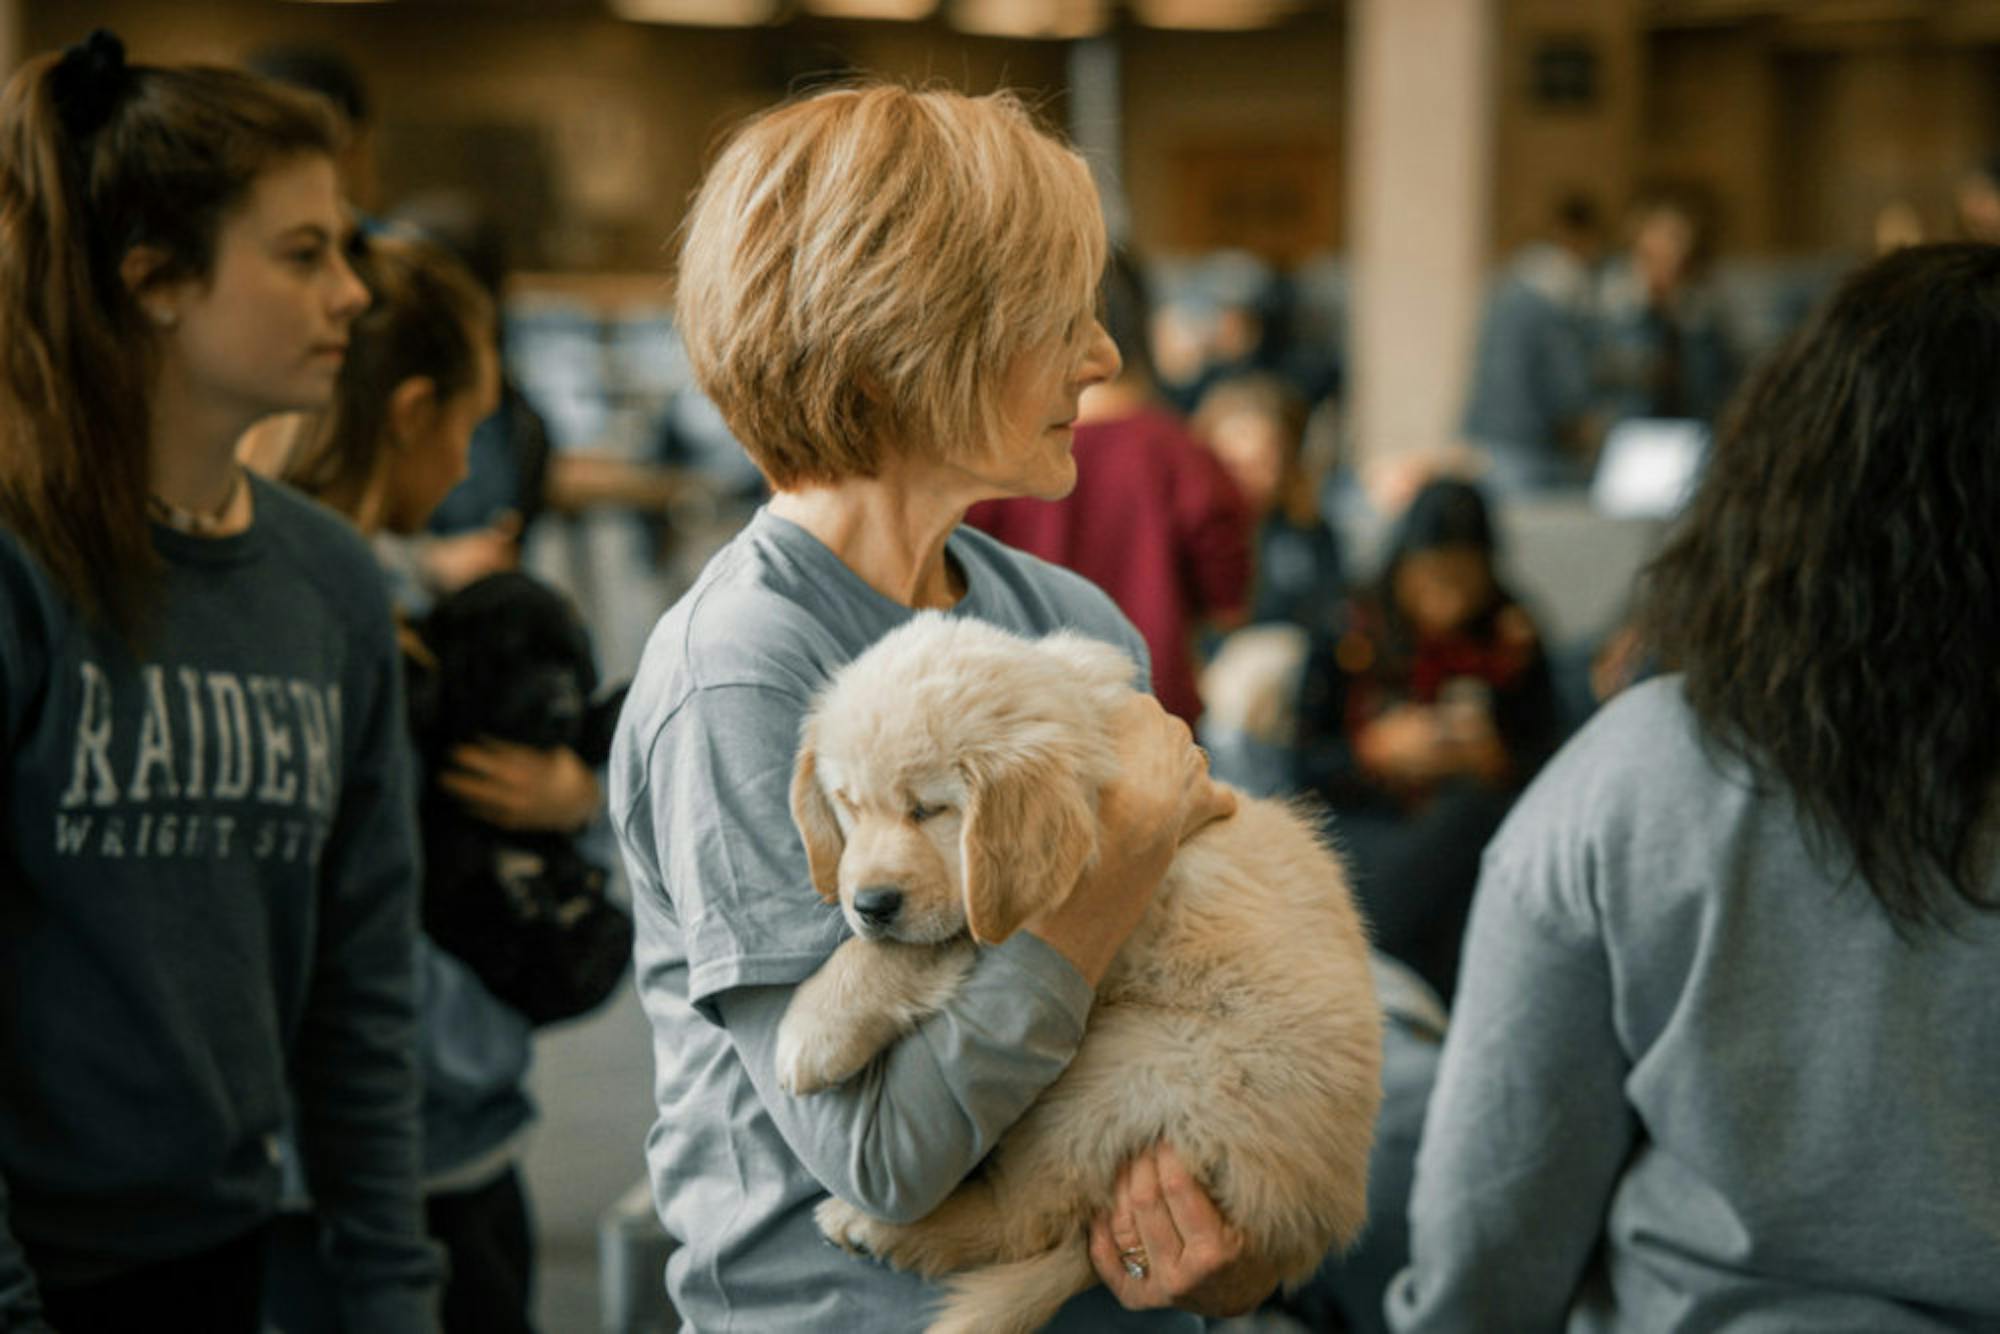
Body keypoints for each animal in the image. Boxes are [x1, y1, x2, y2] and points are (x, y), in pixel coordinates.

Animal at [418, 568, 636, 1032]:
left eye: (569, 662)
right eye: (516, 659)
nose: (561, 711)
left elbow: (580, 740)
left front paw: (614, 706)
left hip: (596, 914)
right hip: (464, 905)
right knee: (515, 968)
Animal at [772, 616, 1384, 1334]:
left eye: (928, 810)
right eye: (847, 803)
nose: (870, 904)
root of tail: (1298, 1224)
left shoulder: (1026, 907)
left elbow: (906, 949)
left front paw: (813, 1032)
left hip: (1126, 1065)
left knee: (1028, 1220)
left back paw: (880, 1228)